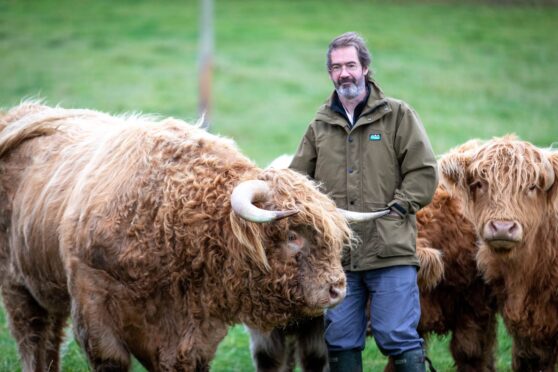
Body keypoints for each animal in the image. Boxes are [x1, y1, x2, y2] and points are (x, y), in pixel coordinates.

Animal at [0, 102, 388, 372]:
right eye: (293, 235)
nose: (337, 289)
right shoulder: (93, 304)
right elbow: (110, 357)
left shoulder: (197, 331)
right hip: (17, 286)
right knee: (33, 339)